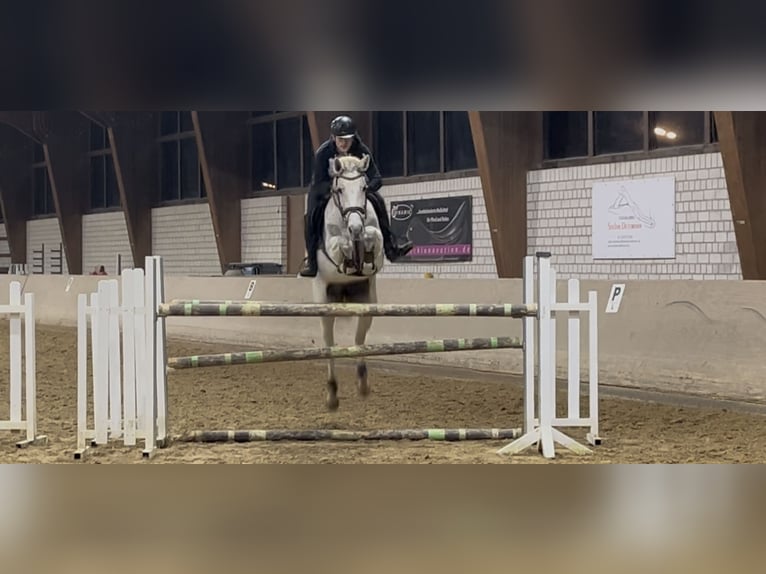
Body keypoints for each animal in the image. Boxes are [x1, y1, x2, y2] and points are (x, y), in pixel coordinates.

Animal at [311, 154, 385, 411]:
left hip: (367, 302)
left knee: (359, 339)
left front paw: (364, 251)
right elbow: (340, 244)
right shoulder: (331, 248)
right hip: (324, 304)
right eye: (340, 189)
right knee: (329, 343)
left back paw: (362, 383)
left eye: (364, 187)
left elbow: (373, 236)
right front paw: (351, 254)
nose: (354, 227)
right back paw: (332, 394)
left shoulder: (375, 237)